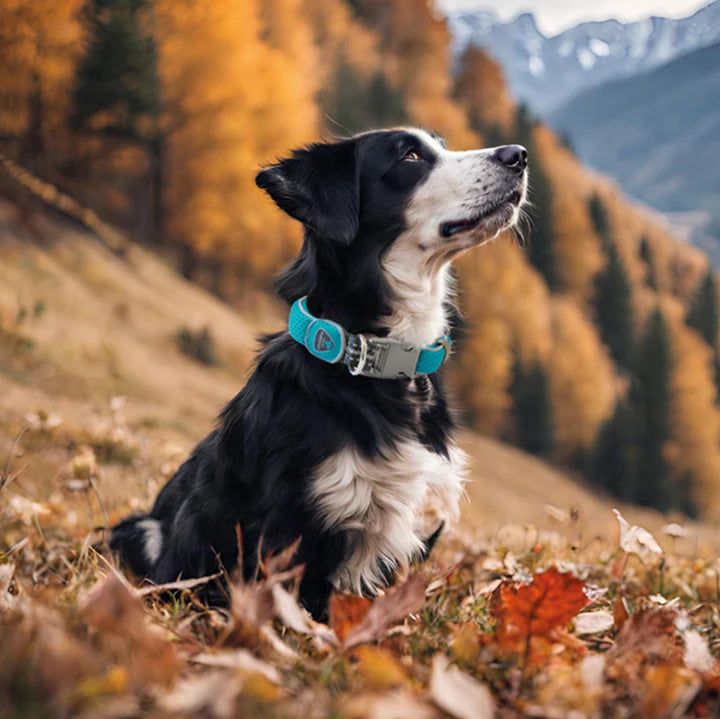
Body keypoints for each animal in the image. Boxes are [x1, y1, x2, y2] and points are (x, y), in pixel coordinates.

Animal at [112, 128, 528, 620]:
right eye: (409, 156)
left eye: (441, 146)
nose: (519, 155)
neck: (373, 358)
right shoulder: (293, 530)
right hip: (142, 531)